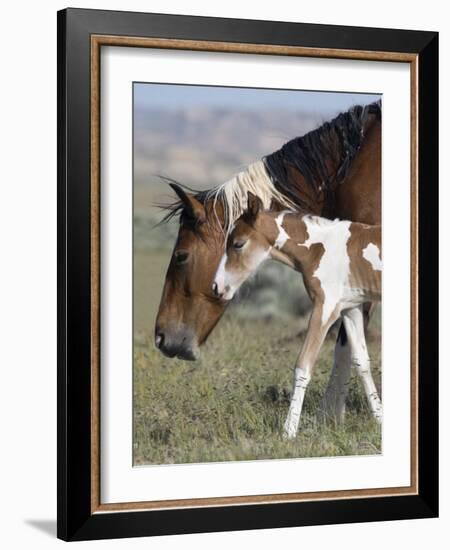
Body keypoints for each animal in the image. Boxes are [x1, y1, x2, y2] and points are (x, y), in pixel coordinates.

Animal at [213, 194, 382, 440]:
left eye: (238, 244)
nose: (217, 287)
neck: (320, 248)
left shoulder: (325, 308)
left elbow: (303, 365)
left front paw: (288, 431)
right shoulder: (350, 308)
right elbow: (362, 362)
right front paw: (381, 420)